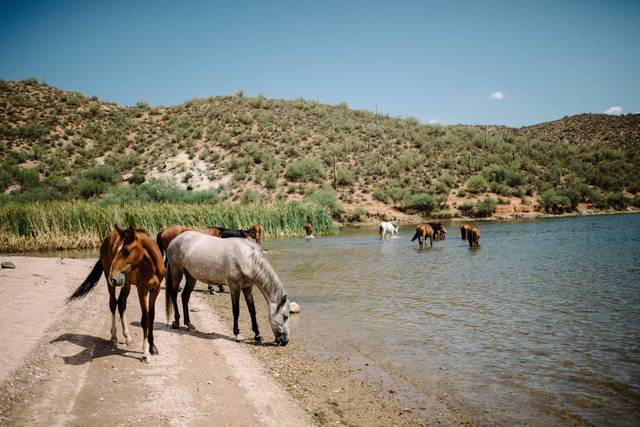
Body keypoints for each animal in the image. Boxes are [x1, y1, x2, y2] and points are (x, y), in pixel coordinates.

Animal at [67, 225, 165, 362]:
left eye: (126, 251)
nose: (113, 276)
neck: (152, 266)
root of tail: (108, 237)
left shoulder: (155, 289)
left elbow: (151, 316)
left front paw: (152, 347)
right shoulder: (142, 289)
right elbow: (145, 318)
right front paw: (145, 353)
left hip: (125, 284)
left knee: (122, 304)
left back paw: (128, 338)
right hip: (112, 283)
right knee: (113, 304)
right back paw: (114, 338)